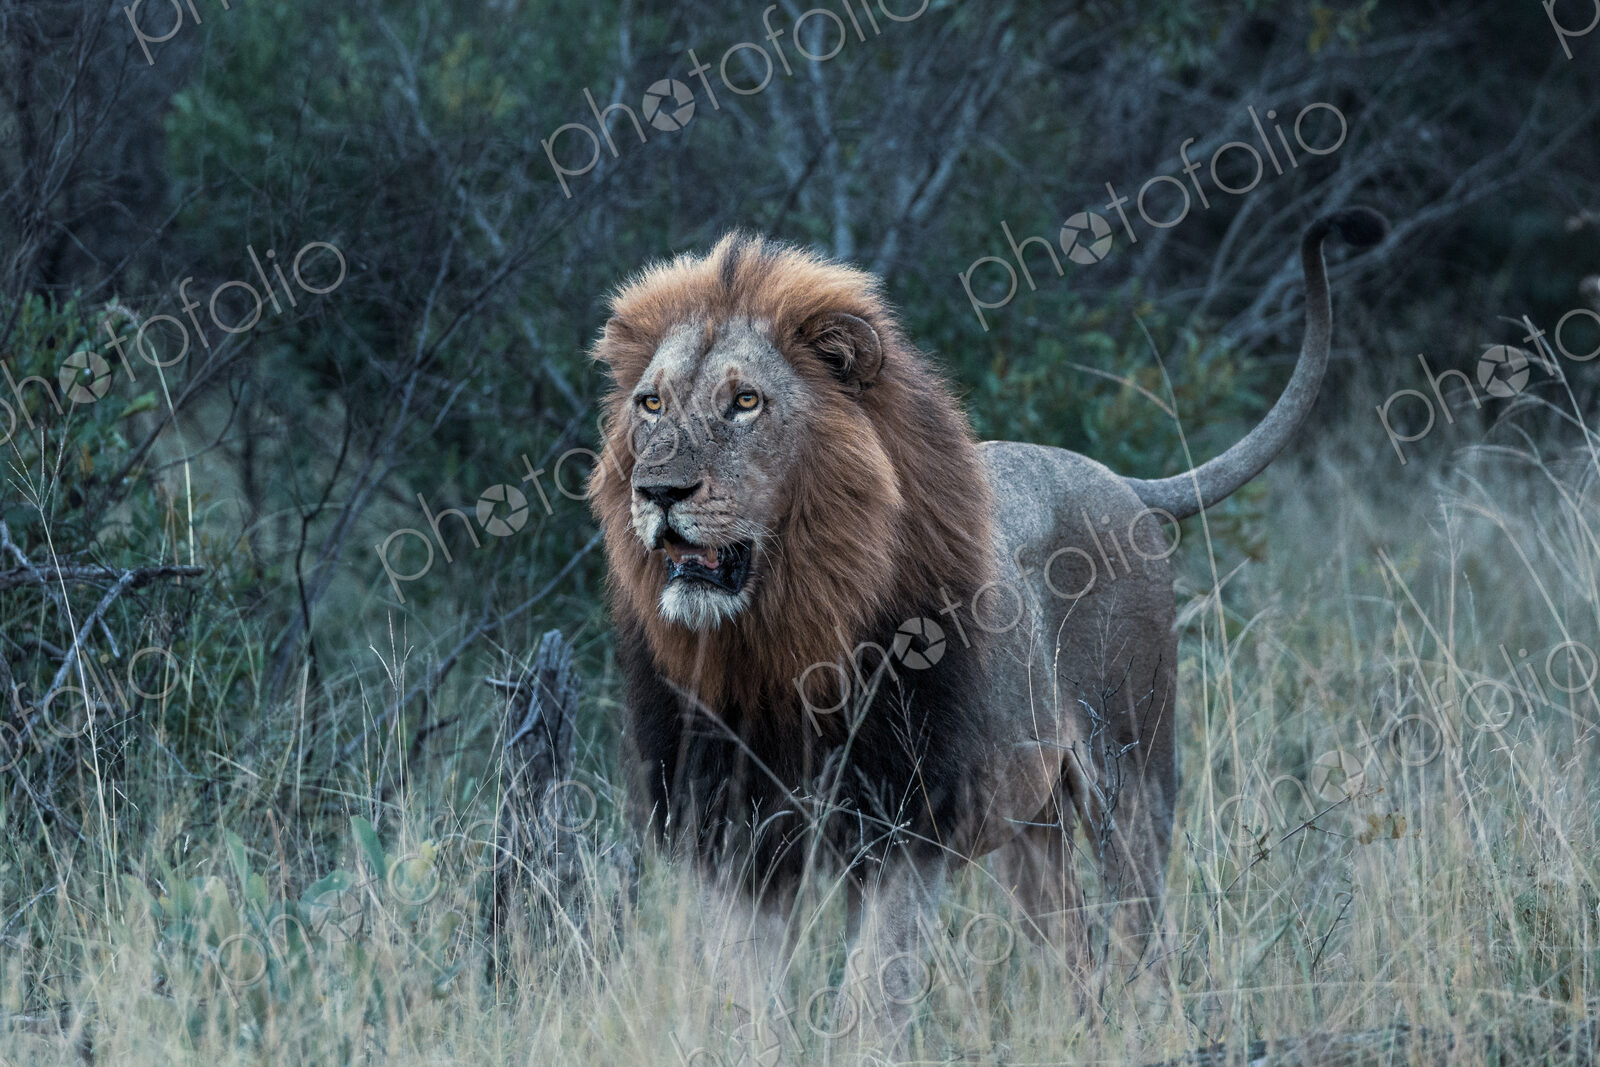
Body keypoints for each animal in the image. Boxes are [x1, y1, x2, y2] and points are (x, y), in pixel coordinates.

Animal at [587, 208, 1387, 1044]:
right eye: (651, 404)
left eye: (745, 402)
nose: (658, 491)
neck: (779, 641)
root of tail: (1116, 478)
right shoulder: (735, 842)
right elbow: (745, 1009)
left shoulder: (904, 831)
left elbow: (870, 998)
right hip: (1033, 827)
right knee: (1078, 951)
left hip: (1131, 775)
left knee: (1146, 940)